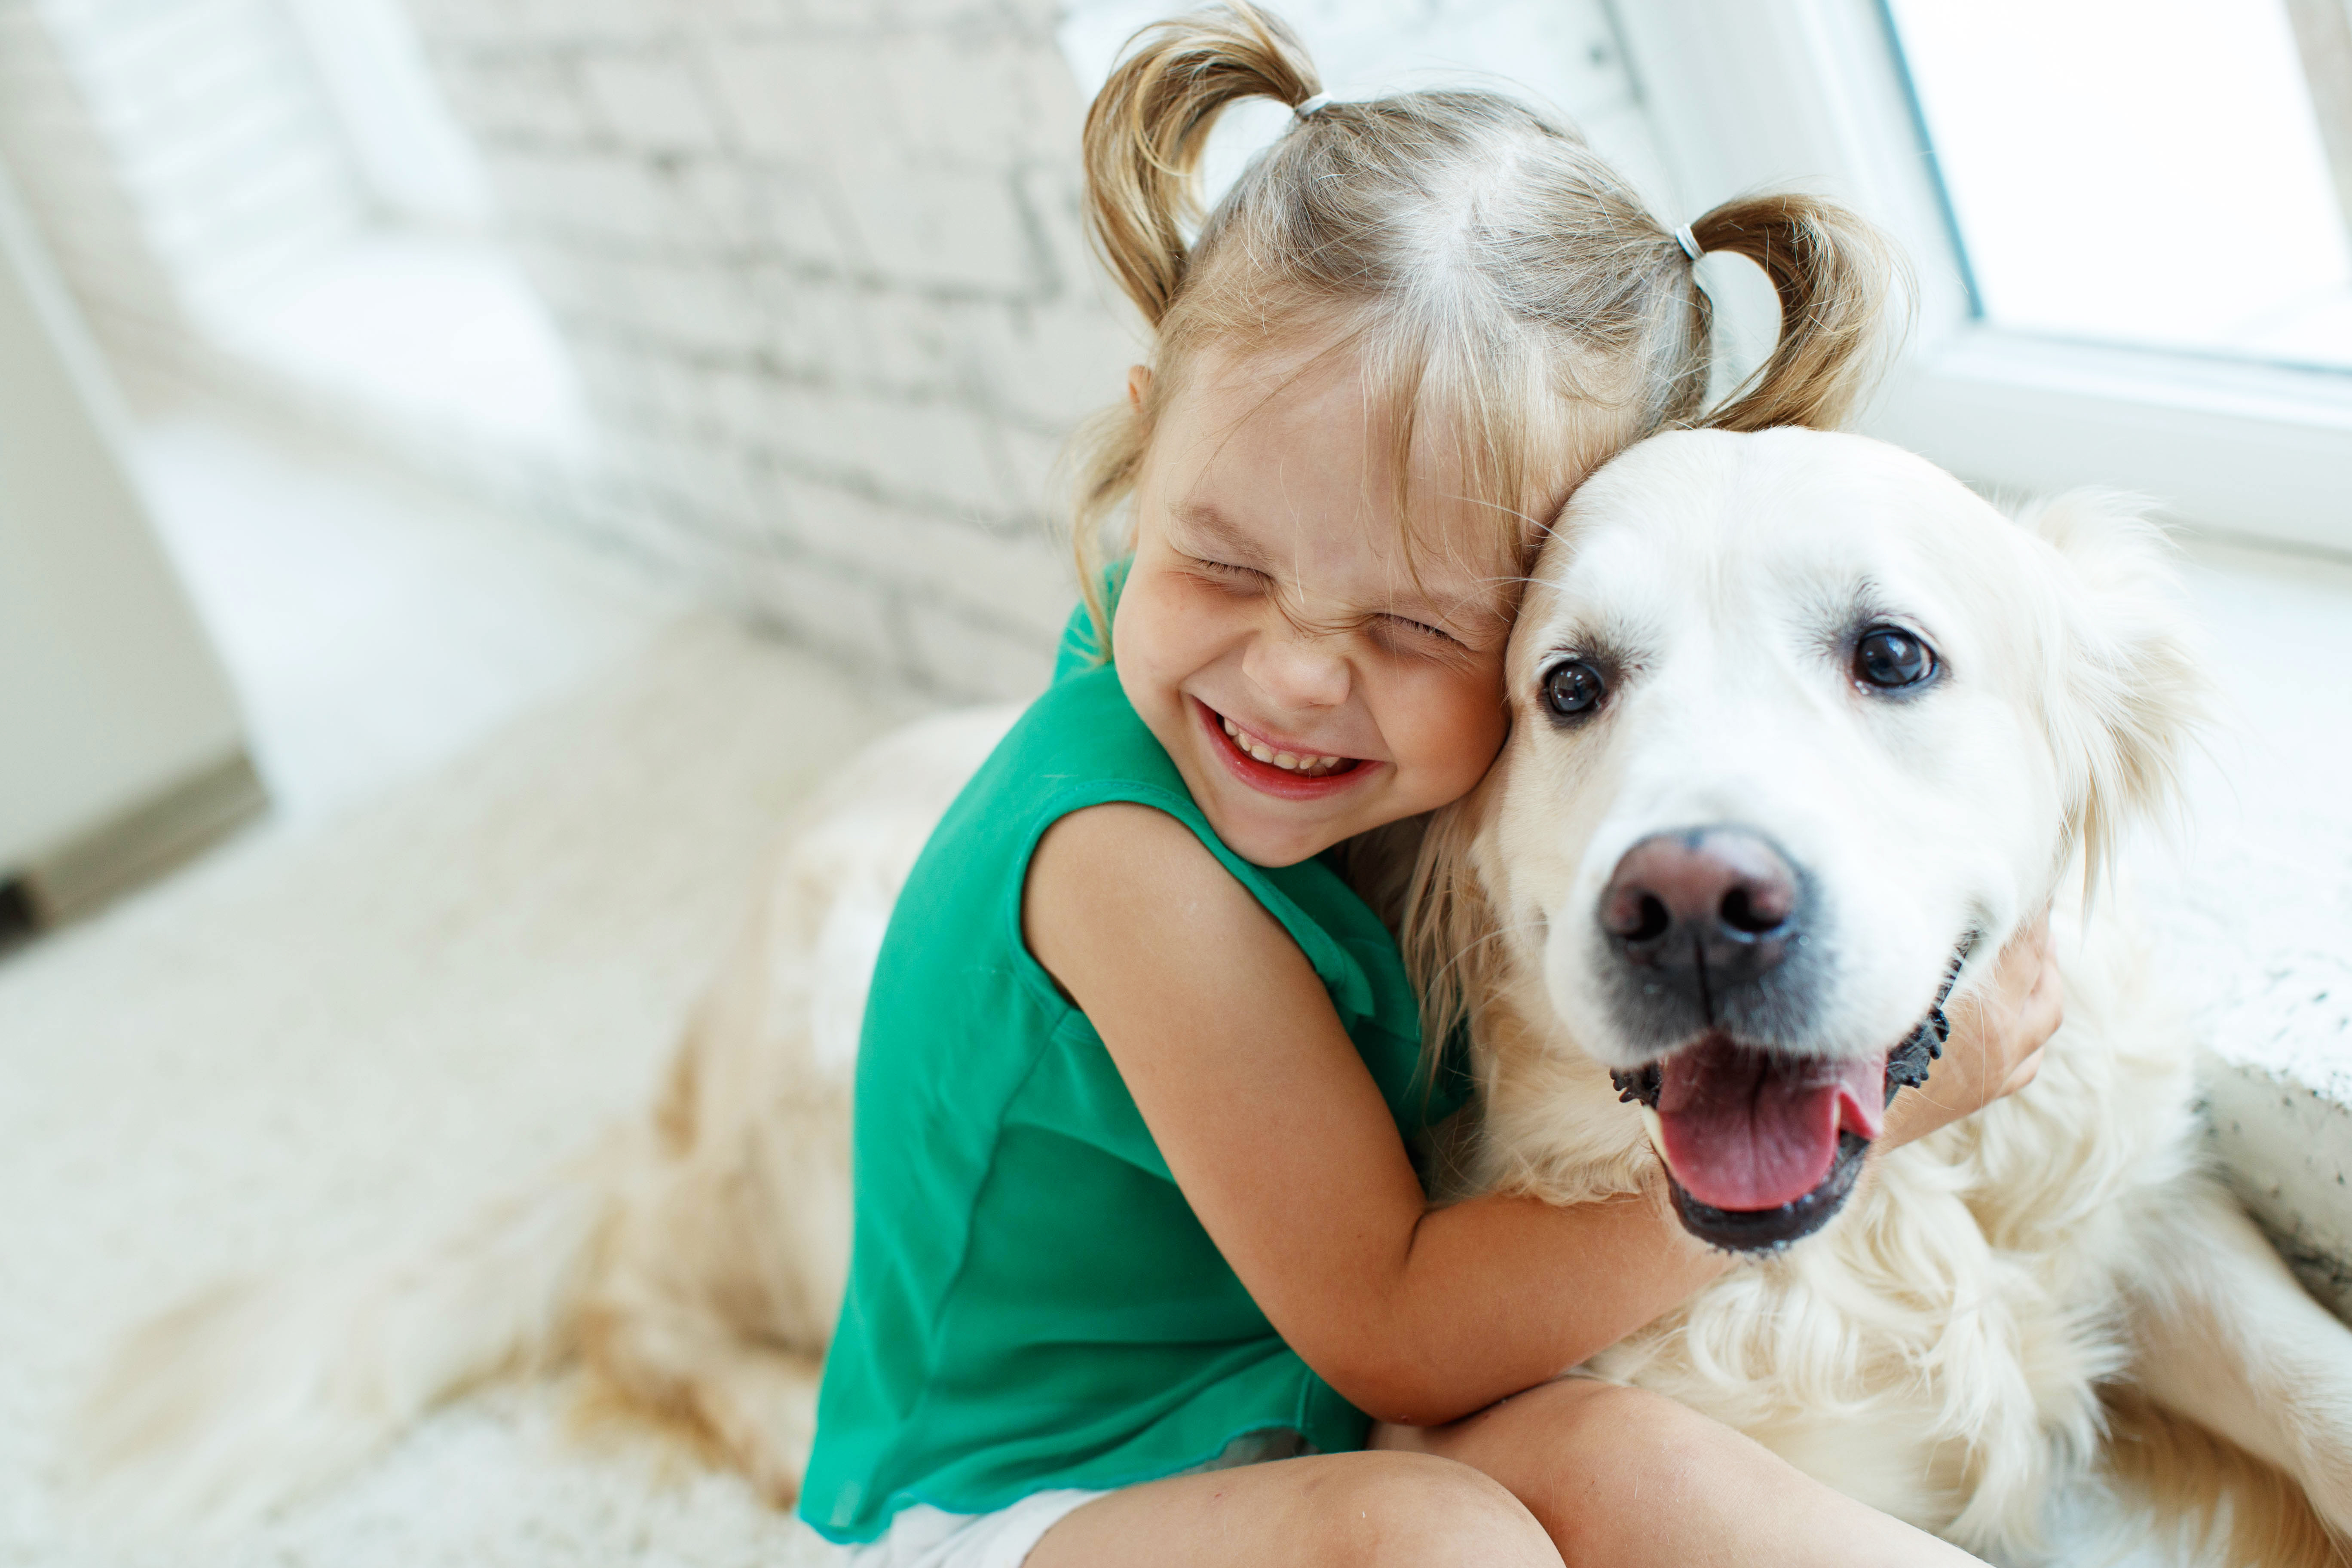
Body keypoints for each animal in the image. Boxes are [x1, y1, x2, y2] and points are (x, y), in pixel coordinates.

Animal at [83, 432, 2352, 1568]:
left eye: (1891, 656)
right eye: (1568, 686)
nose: (1693, 906)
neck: (1875, 1243)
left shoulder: (2118, 1189)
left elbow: (2304, 1372)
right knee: (658, 1295)